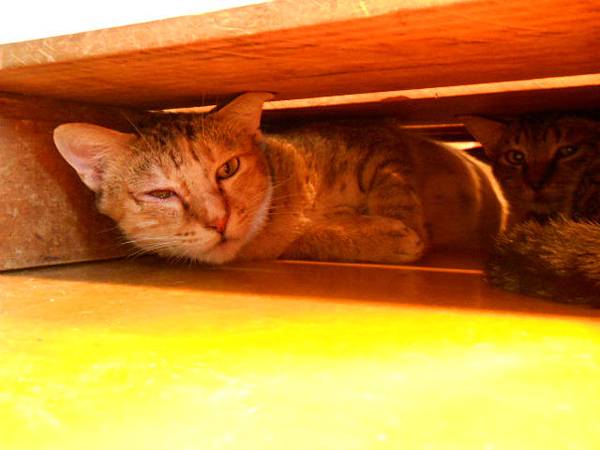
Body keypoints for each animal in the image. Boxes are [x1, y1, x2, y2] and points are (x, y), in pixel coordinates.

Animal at [52, 92, 505, 265]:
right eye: (161, 194)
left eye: (228, 168)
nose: (218, 220)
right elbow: (312, 237)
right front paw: (376, 235)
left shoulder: (378, 138)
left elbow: (395, 189)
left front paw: (403, 229)